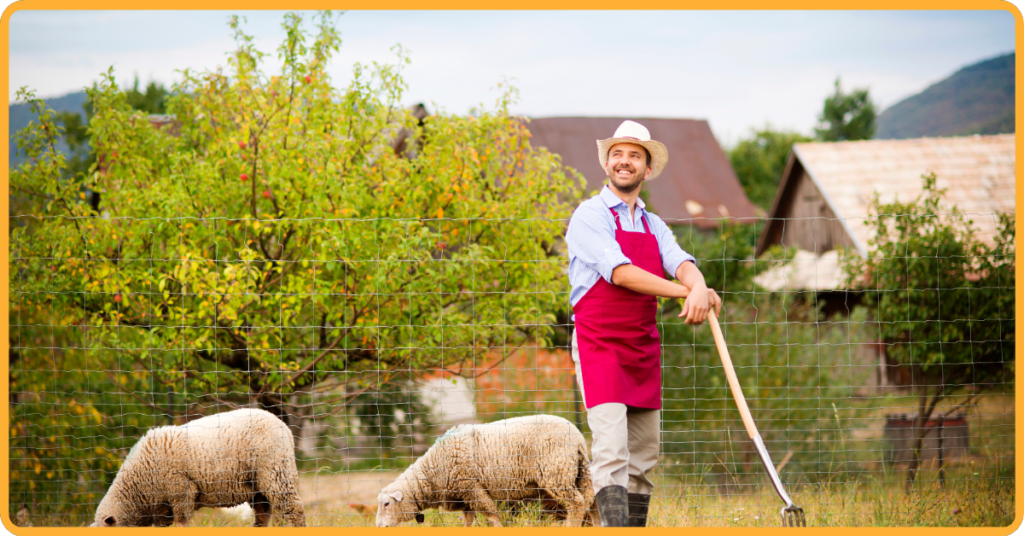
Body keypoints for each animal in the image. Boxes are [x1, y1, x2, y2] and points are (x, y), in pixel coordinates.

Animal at [91, 409, 303, 524]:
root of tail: (283, 425)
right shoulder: (163, 508)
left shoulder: (180, 490)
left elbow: (182, 522)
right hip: (257, 485)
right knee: (263, 514)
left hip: (276, 472)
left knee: (294, 510)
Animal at [376, 416, 598, 528]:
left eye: (387, 504)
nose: (378, 526)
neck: (432, 471)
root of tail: (578, 438)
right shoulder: (465, 496)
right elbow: (468, 521)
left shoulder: (472, 488)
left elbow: (492, 516)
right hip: (579, 472)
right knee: (590, 500)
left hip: (556, 472)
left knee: (577, 503)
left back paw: (571, 527)